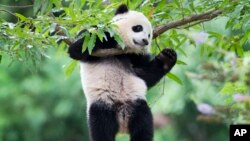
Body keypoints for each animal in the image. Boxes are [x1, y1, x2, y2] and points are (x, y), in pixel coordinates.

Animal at [68, 3, 177, 140]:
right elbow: (79, 48)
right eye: (138, 28)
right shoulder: (93, 40)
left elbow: (145, 75)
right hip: (102, 107)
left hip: (137, 105)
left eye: (149, 35)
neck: (124, 50)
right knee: (101, 130)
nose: (145, 41)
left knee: (144, 127)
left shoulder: (136, 57)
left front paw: (167, 57)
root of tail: (122, 125)